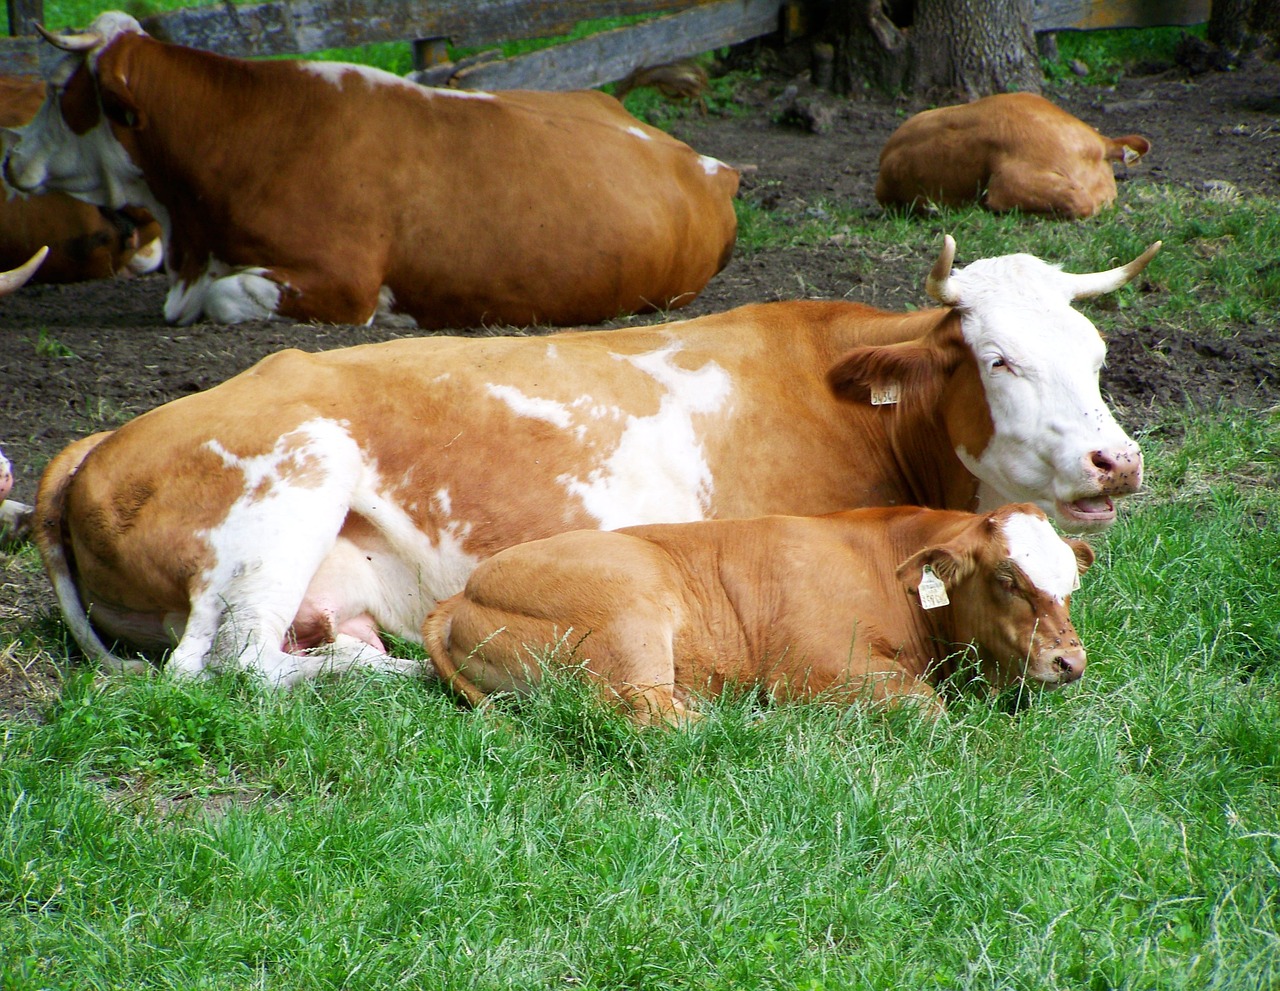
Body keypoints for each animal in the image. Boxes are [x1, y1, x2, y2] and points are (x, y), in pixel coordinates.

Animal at [32, 238, 1152, 691]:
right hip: (289, 485)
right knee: (226, 664)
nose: (1116, 460)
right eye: (999, 358)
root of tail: (99, 440)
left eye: (1096, 355)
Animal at [424, 504, 1095, 722]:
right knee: (659, 720)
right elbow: (927, 708)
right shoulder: (821, 668)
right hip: (631, 617)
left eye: (1071, 583)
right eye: (1008, 578)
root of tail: (461, 593)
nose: (1070, 661)